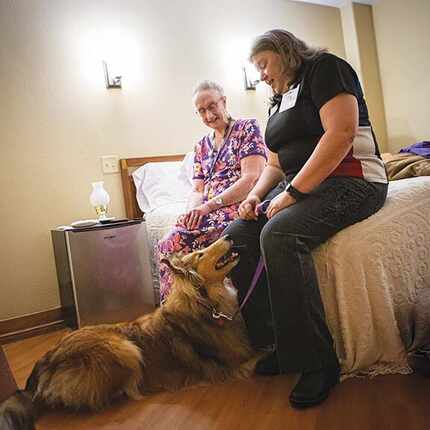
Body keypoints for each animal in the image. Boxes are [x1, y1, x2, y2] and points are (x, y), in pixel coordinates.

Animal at [0, 237, 260, 428]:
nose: (228, 236)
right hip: (124, 348)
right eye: (200, 254)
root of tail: (47, 359)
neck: (206, 303)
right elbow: (259, 356)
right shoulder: (232, 363)